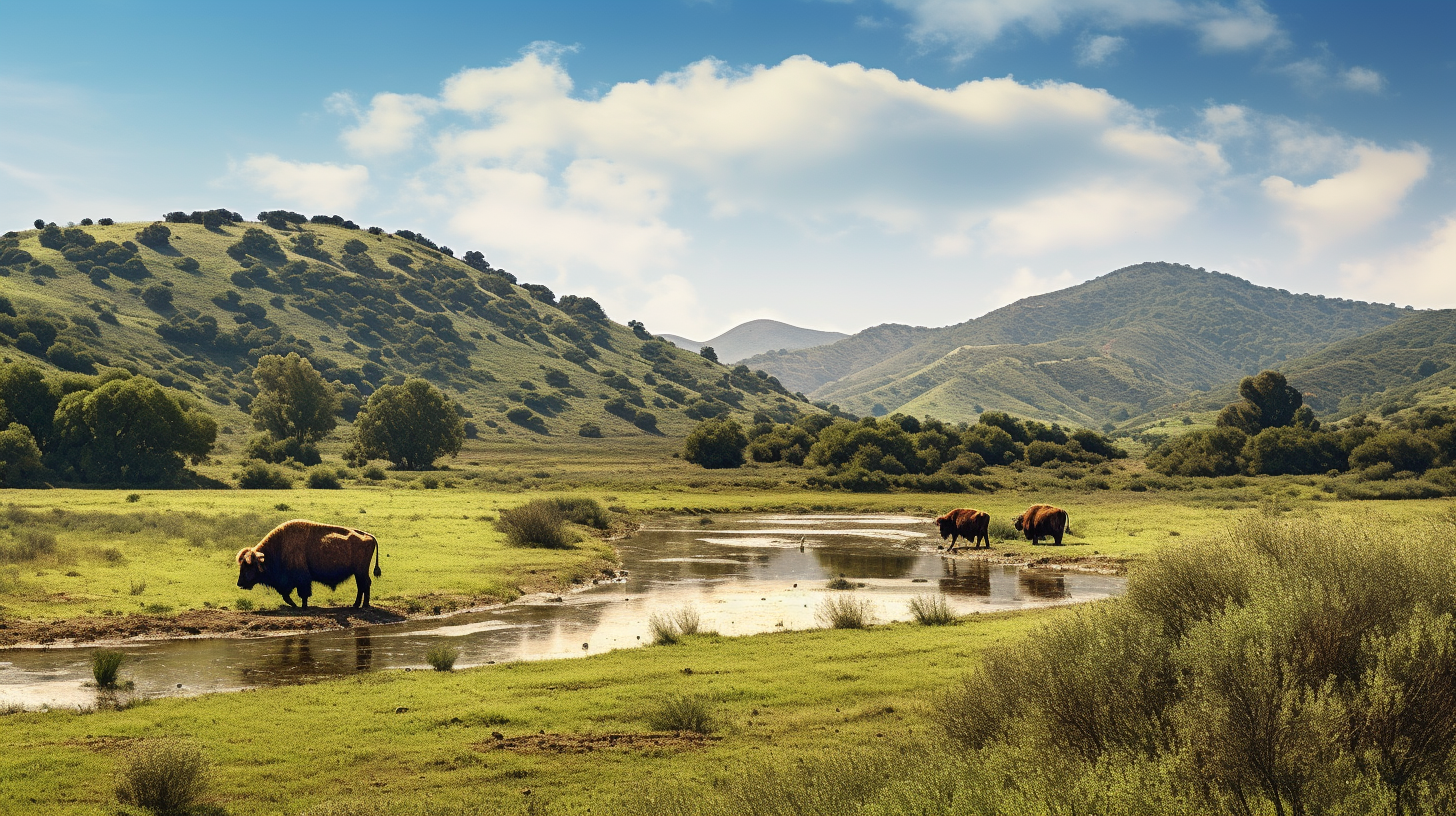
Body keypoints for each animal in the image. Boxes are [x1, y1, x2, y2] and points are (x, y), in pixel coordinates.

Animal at [235, 518, 381, 609]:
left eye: (249, 566)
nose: (239, 583)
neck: (279, 547)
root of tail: (369, 535)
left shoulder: (302, 579)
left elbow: (303, 593)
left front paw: (303, 606)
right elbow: (286, 595)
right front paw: (295, 605)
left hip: (360, 571)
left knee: (364, 584)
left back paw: (362, 605)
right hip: (359, 572)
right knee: (362, 585)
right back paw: (357, 605)